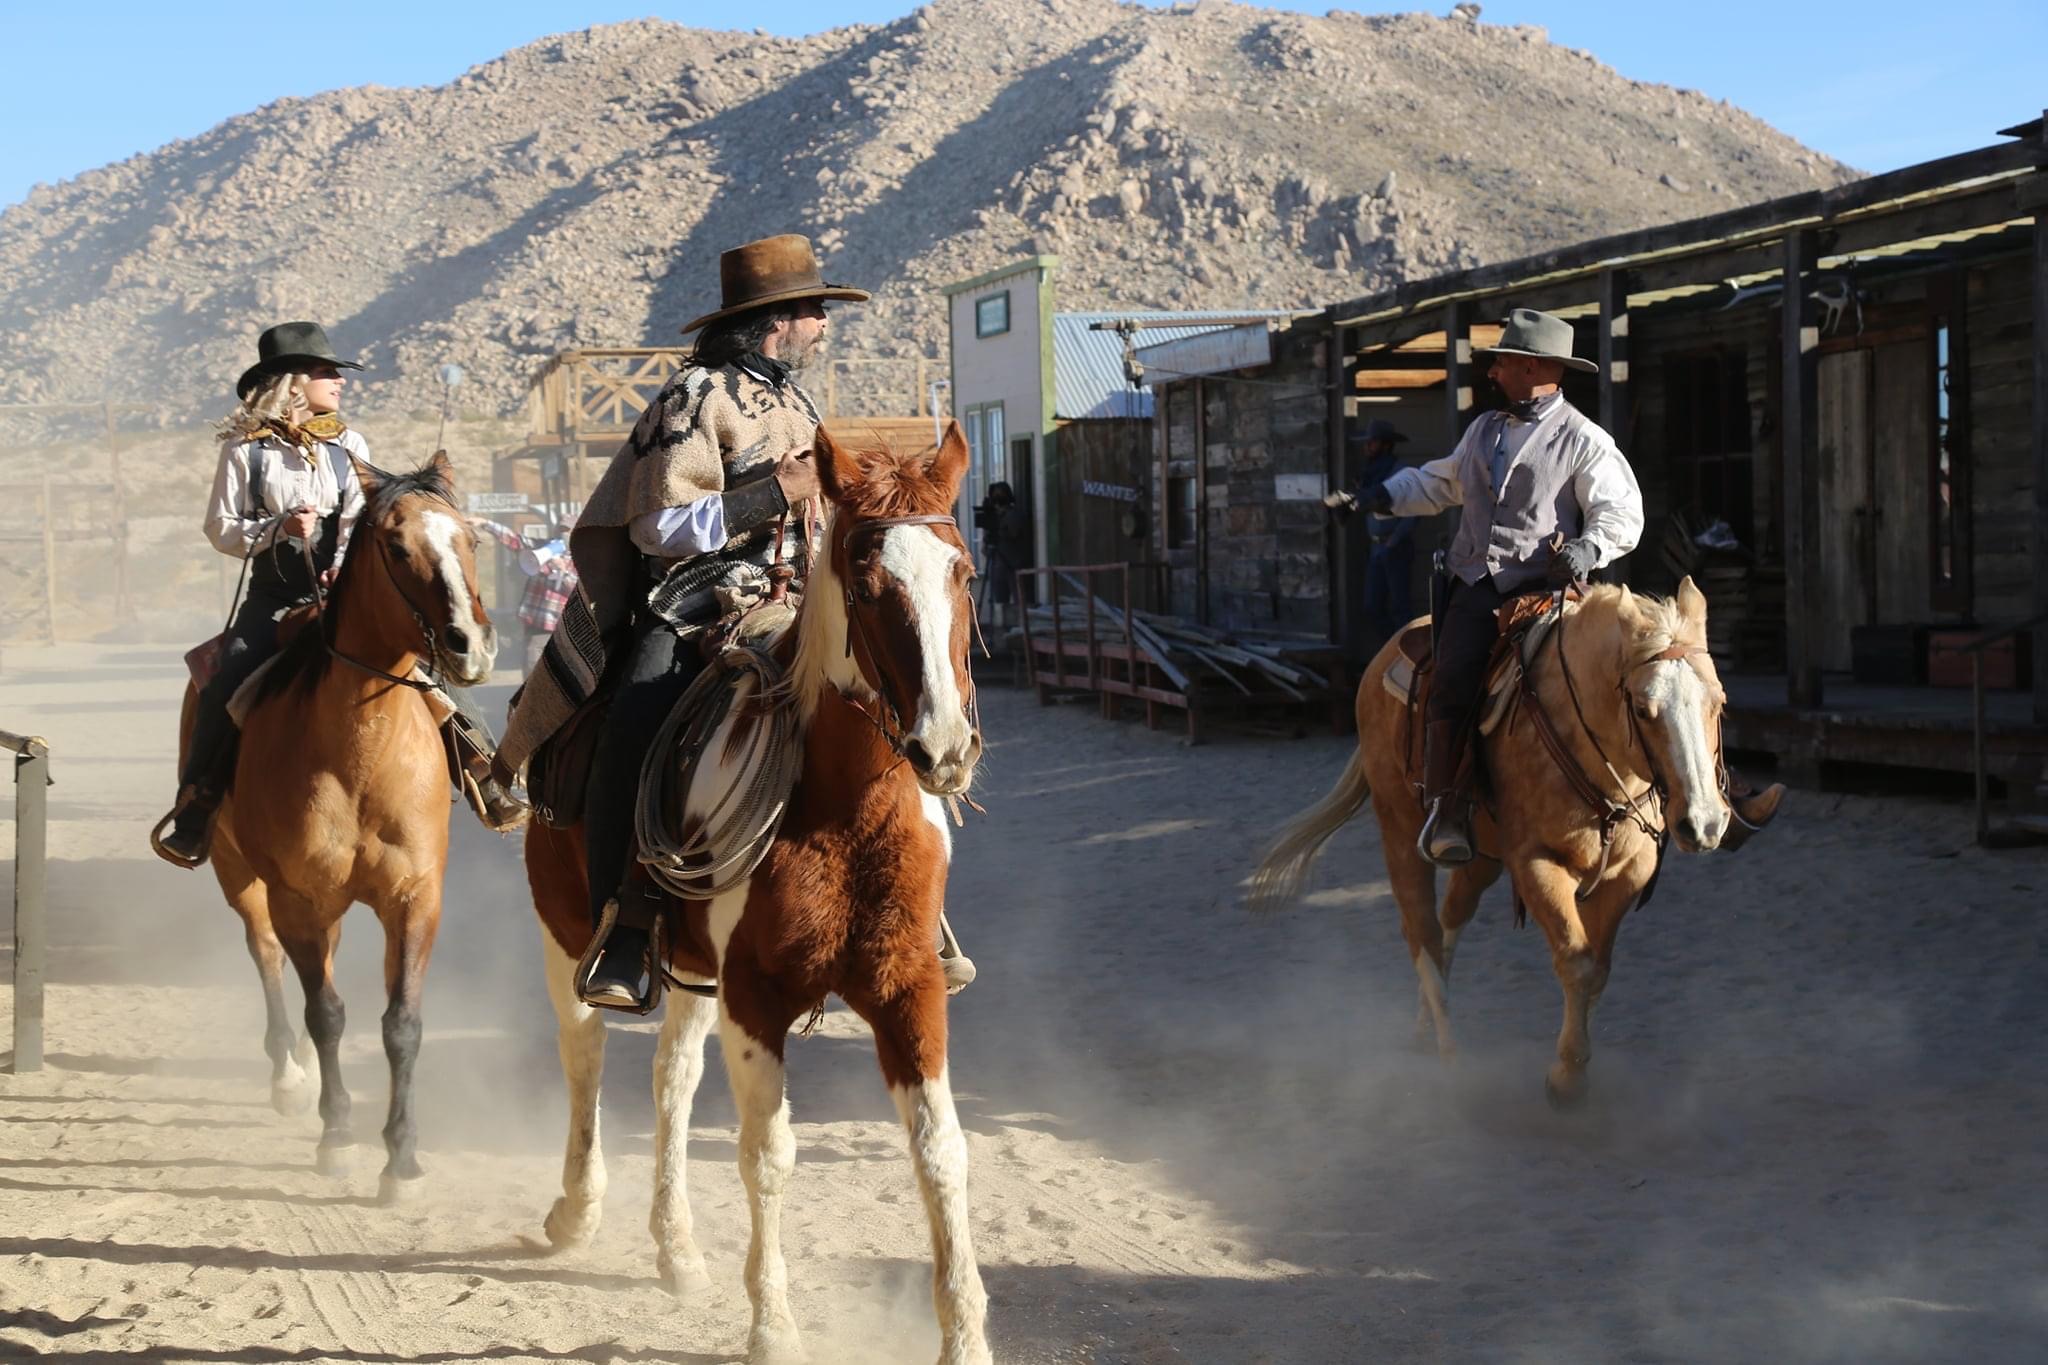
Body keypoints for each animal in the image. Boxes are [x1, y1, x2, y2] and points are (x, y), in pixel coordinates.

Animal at [176, 456, 495, 1195]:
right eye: (396, 547)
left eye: (471, 537)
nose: (469, 645)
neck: (361, 756)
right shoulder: (299, 898)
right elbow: (325, 1012)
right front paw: (339, 1136)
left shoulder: (414, 898)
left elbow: (401, 1024)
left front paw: (402, 1158)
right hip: (239, 875)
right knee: (266, 956)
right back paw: (290, 1077)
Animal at [524, 421, 995, 1365]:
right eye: (869, 582)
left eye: (962, 572)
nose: (945, 747)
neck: (842, 808)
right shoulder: (756, 992)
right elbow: (767, 1152)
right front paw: (773, 1325)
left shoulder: (906, 984)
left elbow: (940, 1148)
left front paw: (965, 1338)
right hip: (567, 931)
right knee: (585, 1051)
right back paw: (577, 1208)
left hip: (684, 961)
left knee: (671, 1076)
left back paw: (675, 1245)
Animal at [1245, 581, 1728, 1113]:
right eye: (1643, 708)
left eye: (1719, 702)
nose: (1704, 822)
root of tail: (1381, 658)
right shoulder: (1536, 864)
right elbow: (1577, 962)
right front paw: (1566, 1079)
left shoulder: (1627, 873)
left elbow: (1597, 969)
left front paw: (1573, 1063)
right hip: (1399, 831)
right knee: (1422, 932)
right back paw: (1449, 1057)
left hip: (1482, 858)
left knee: (1450, 919)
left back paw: (1423, 1028)